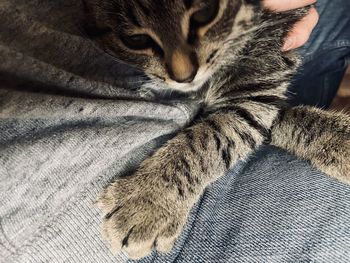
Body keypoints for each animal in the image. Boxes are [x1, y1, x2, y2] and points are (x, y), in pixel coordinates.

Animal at [82, 0, 350, 260]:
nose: (184, 75)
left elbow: (207, 138)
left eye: (205, 15)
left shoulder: (256, 92)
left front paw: (149, 200)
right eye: (135, 40)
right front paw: (149, 198)